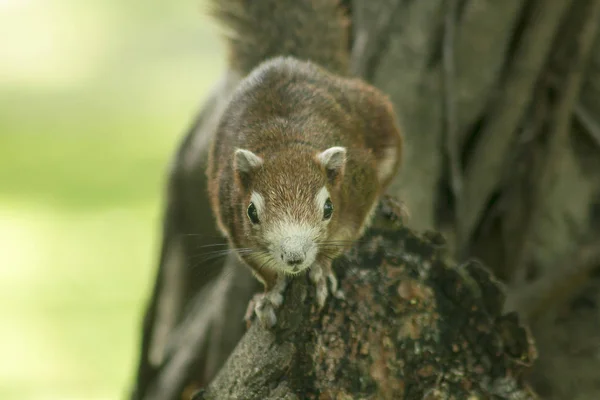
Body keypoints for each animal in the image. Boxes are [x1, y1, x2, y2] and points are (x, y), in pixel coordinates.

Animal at [205, 0, 404, 326]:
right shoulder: (232, 219)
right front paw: (269, 294)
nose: (294, 258)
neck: (284, 143)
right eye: (251, 212)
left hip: (380, 120)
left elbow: (344, 236)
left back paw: (391, 203)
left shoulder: (358, 186)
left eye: (328, 208)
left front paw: (321, 269)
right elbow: (262, 269)